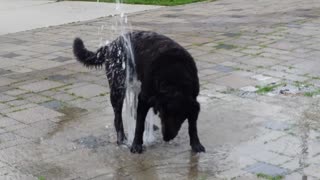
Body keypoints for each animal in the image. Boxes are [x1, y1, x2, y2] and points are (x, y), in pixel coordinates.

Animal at [72, 30, 205, 153]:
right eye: (162, 115)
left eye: (179, 117)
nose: (166, 138)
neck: (174, 76)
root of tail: (110, 45)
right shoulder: (144, 98)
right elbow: (139, 125)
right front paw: (136, 145)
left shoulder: (193, 102)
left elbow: (193, 126)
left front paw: (196, 144)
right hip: (118, 89)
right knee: (118, 117)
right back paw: (122, 139)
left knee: (132, 110)